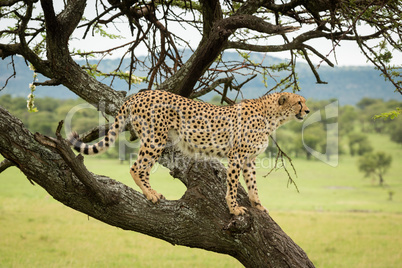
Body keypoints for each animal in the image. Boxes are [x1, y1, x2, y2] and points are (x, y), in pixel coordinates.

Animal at [67, 90, 310, 216]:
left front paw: (258, 205)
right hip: (155, 138)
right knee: (137, 167)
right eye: (299, 102)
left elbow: (253, 184)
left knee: (142, 167)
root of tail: (140, 94)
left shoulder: (249, 159)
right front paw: (234, 208)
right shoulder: (236, 157)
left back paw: (151, 192)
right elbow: (232, 186)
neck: (273, 117)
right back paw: (150, 194)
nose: (307, 111)